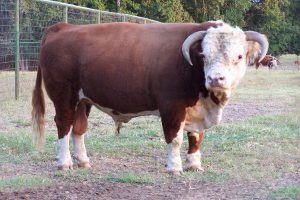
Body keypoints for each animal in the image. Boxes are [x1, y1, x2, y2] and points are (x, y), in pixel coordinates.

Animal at [31, 21, 268, 174]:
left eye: (239, 56)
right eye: (204, 55)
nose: (215, 78)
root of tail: (64, 27)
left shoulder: (197, 110)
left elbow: (196, 138)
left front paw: (194, 165)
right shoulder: (172, 106)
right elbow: (175, 138)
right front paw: (174, 167)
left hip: (83, 100)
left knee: (79, 128)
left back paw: (83, 161)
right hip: (64, 95)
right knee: (64, 124)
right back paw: (64, 163)